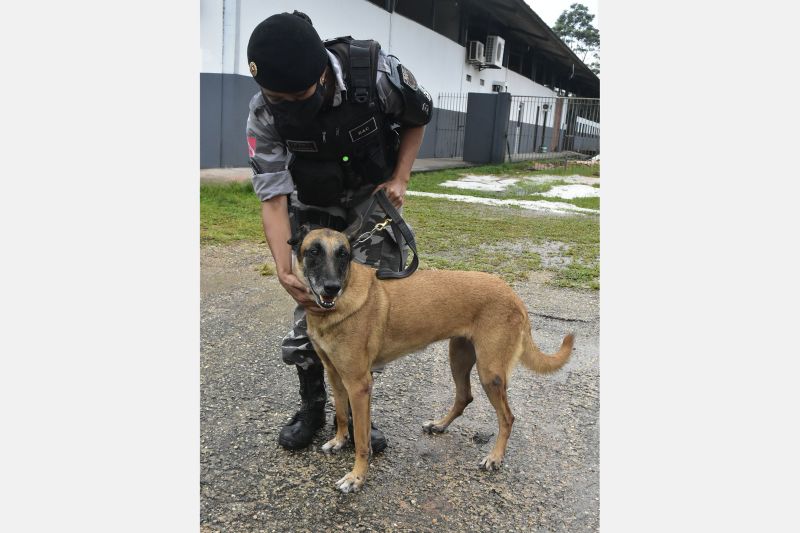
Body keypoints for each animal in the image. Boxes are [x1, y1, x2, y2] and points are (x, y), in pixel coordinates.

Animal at [294, 223, 576, 490]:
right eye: (313, 252)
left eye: (343, 254)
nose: (331, 288)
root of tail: (513, 295)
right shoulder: (334, 374)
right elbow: (342, 413)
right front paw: (339, 440)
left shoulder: (359, 384)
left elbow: (362, 440)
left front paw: (357, 477)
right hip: (459, 358)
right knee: (464, 396)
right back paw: (440, 425)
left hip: (490, 373)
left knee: (507, 417)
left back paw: (495, 457)